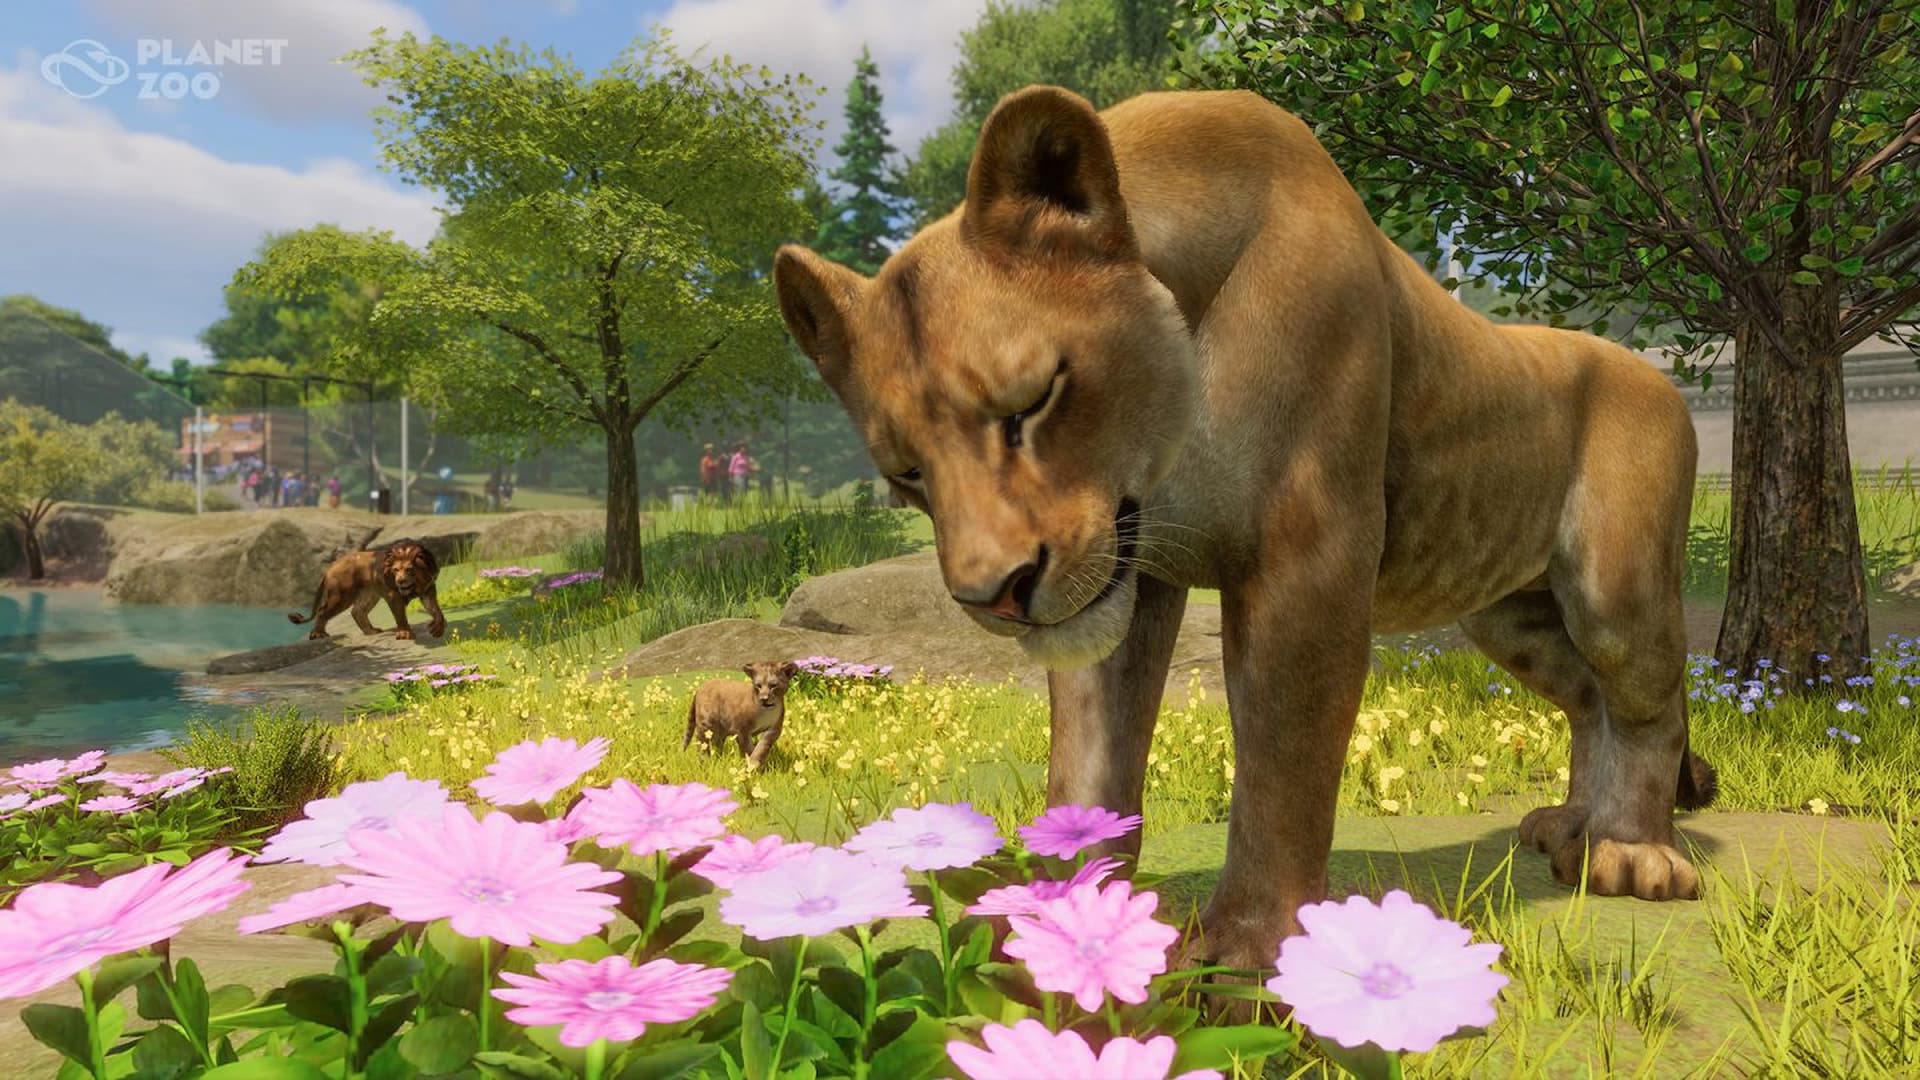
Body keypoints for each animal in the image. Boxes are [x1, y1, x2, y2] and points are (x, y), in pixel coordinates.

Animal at [288, 538, 447, 642]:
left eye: (409, 569)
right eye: (396, 570)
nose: (400, 581)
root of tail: (331, 566)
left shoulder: (428, 589)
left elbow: (435, 609)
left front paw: (438, 627)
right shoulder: (393, 595)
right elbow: (400, 616)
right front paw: (405, 633)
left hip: (370, 595)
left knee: (357, 611)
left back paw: (371, 631)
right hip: (341, 596)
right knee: (322, 611)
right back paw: (318, 634)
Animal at [772, 86, 1718, 971]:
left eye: (1032, 401)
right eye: (907, 471)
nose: (992, 595)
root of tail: (1656, 375)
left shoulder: (1306, 563)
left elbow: (1282, 763)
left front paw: (1246, 950)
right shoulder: (1125, 581)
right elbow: (1089, 761)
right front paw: (1061, 917)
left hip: (1614, 592)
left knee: (1648, 698)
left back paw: (1633, 855)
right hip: (1511, 617)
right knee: (1589, 695)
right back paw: (1573, 828)